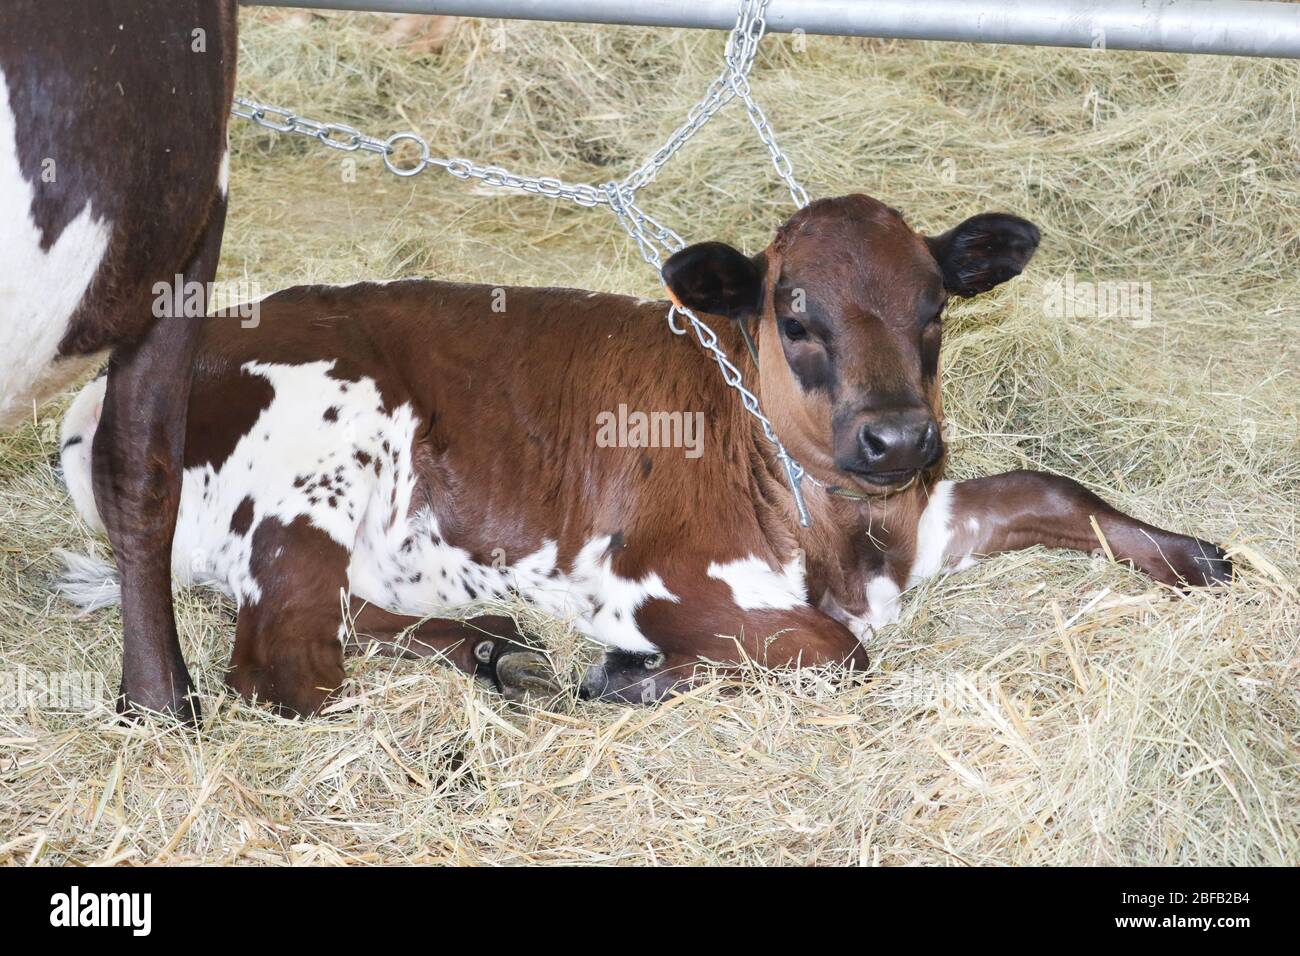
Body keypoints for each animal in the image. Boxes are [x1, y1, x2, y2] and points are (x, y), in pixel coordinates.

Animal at [56, 194, 1233, 715]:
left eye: (934, 307)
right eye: (795, 314)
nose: (900, 435)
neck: (847, 538)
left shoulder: (924, 516)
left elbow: (1051, 486)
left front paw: (1191, 555)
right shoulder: (647, 574)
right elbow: (835, 648)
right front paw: (634, 671)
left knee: (346, 614)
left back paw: (494, 648)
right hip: (322, 461)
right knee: (283, 659)